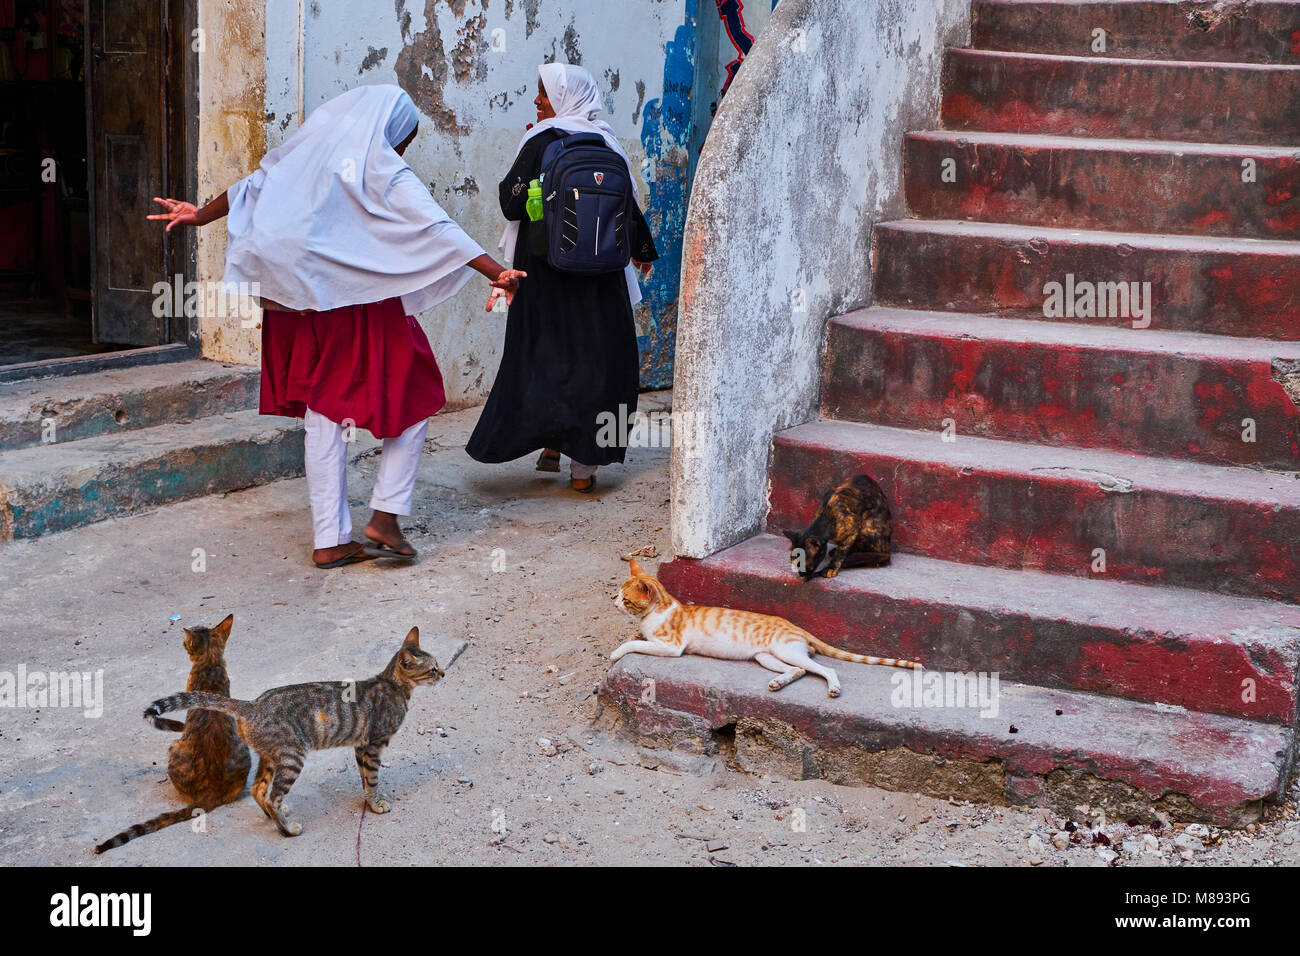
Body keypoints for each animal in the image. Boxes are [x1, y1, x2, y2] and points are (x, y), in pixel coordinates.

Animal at [94, 616, 250, 858]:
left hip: (175, 748)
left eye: (186, 641)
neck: (210, 665)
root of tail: (211, 793)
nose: (182, 644)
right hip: (244, 749)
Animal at [144, 624, 441, 832]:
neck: (394, 686)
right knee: (272, 796)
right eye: (433, 669)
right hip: (292, 757)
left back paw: (275, 817)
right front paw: (376, 804)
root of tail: (252, 704)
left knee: (258, 790)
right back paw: (287, 829)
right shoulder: (373, 745)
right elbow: (373, 777)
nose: (444, 673)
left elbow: (365, 779)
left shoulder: (361, 747)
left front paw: (370, 800)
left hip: (271, 756)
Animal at [611, 556, 925, 697]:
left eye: (625, 599)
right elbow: (638, 635)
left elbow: (634, 643)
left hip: (787, 651)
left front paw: (616, 652)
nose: (613, 603)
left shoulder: (671, 647)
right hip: (767, 657)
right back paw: (778, 682)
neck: (656, 611)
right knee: (799, 671)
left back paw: (834, 687)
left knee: (826, 669)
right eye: (617, 594)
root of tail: (796, 625)